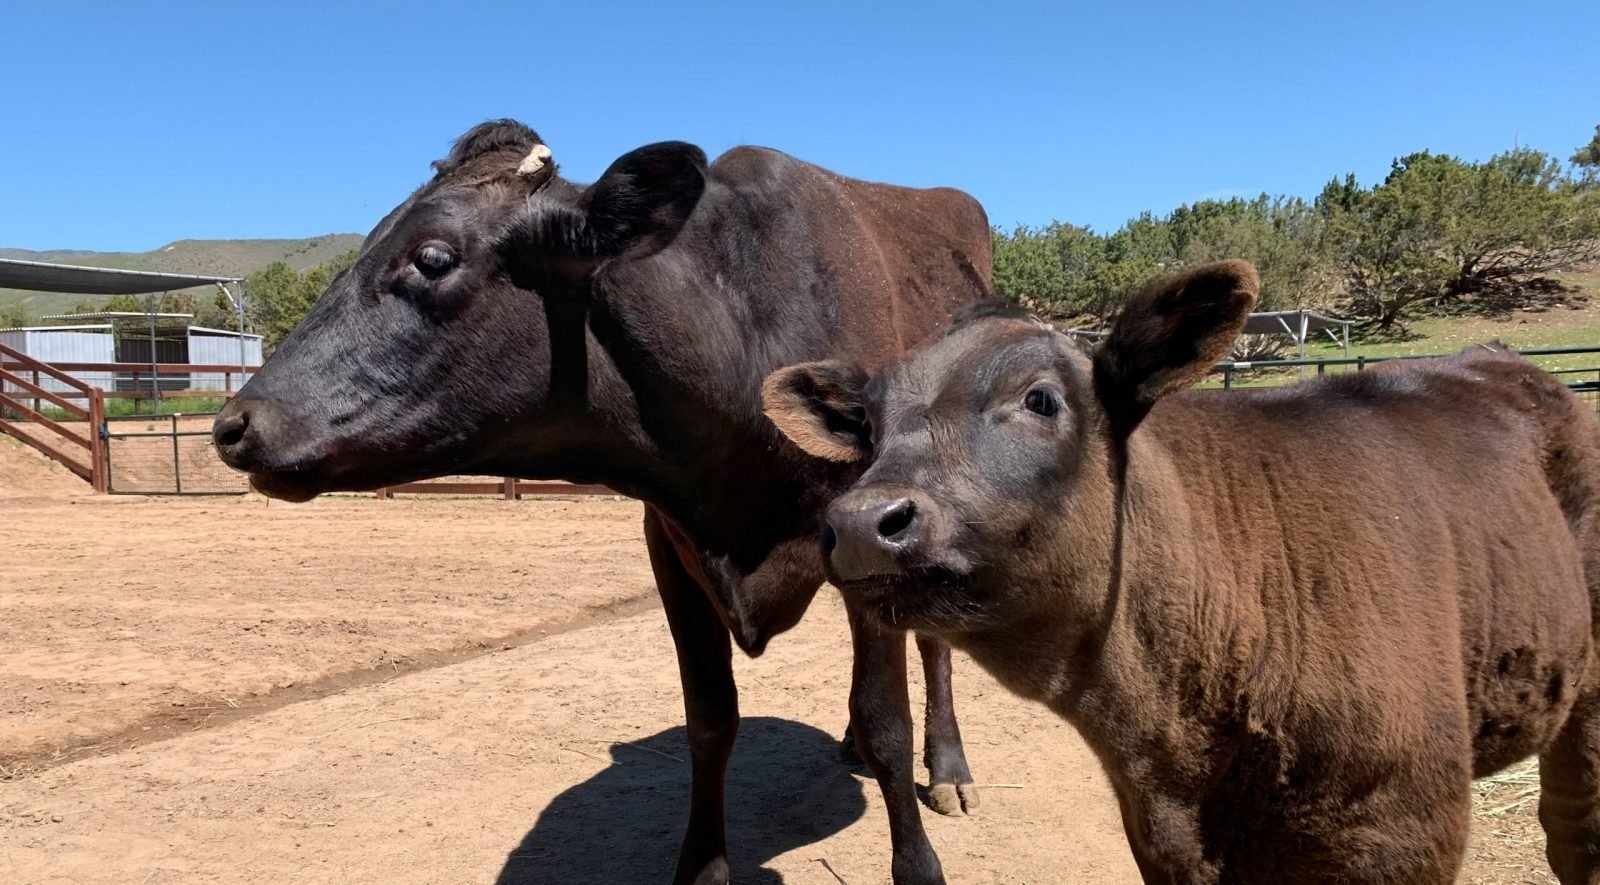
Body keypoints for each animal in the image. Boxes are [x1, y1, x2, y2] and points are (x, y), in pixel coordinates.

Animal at [212, 119, 990, 884]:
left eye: (432, 257)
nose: (234, 426)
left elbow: (887, 721)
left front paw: (919, 861)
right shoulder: (671, 548)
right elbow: (711, 720)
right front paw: (701, 868)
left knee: (933, 644)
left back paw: (949, 767)